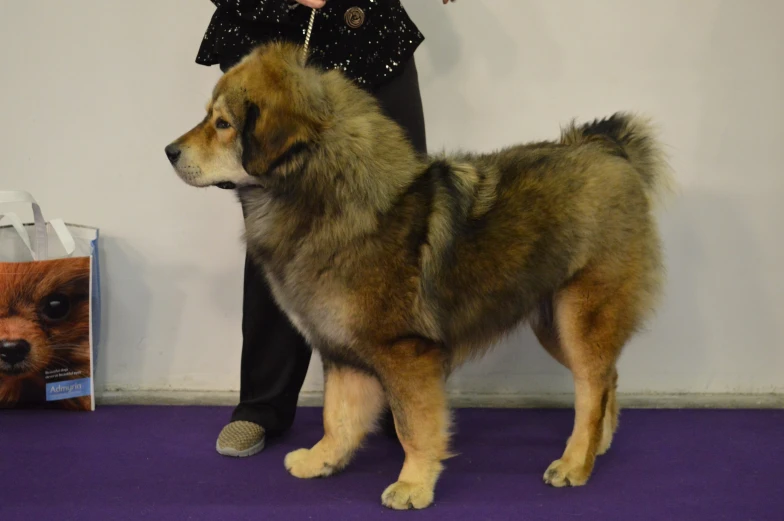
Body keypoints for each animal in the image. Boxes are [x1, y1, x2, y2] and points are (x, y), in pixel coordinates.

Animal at [167, 43, 672, 508]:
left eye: (222, 124)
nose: (169, 151)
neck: (326, 193)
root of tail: (607, 149)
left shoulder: (405, 352)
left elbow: (413, 426)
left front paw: (413, 485)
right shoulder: (342, 348)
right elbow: (337, 415)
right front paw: (322, 459)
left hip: (580, 316)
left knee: (590, 389)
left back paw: (574, 463)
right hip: (553, 323)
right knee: (606, 380)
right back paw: (599, 446)